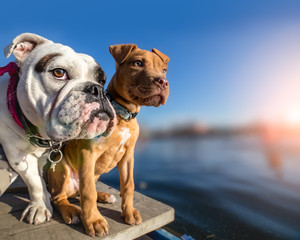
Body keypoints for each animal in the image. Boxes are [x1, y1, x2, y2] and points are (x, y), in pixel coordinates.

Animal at [47, 44, 169, 237]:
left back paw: (103, 196)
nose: (162, 81)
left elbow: (128, 185)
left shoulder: (128, 157)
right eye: (138, 63)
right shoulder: (87, 154)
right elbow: (88, 192)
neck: (123, 115)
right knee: (60, 197)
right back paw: (71, 211)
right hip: (62, 168)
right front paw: (94, 221)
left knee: (79, 192)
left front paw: (128, 212)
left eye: (163, 70)